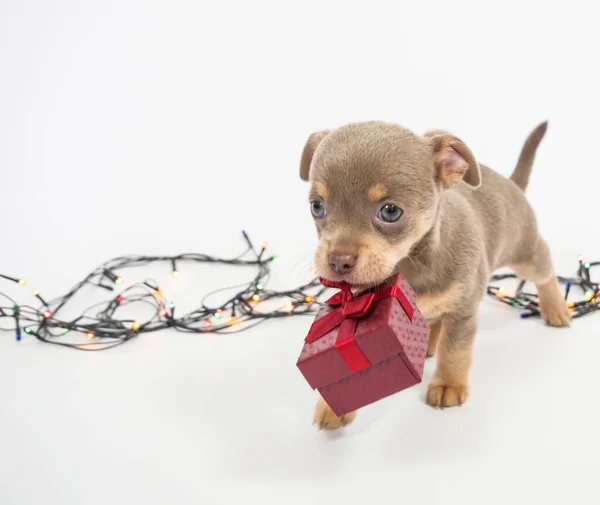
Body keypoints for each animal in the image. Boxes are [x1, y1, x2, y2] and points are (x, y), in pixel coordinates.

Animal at [300, 120, 572, 428]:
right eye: (317, 207)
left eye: (390, 211)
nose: (338, 261)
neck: (409, 264)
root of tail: (511, 183)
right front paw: (334, 407)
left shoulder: (463, 311)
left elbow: (455, 352)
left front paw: (448, 385)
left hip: (525, 256)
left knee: (546, 269)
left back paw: (555, 308)